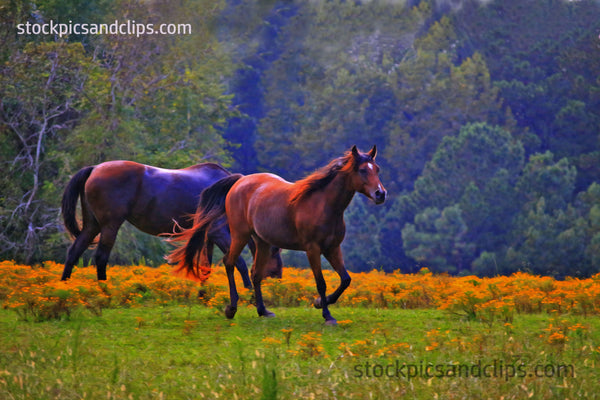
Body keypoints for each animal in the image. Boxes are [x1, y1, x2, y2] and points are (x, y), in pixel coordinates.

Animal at [60, 161, 282, 282]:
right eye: (275, 250)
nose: (276, 275)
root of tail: (94, 168)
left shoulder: (208, 237)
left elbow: (206, 267)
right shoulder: (219, 233)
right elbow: (239, 262)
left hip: (92, 225)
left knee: (74, 252)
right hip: (109, 226)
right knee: (101, 257)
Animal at [166, 147, 386, 324]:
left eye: (377, 169)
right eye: (362, 170)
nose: (380, 194)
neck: (322, 204)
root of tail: (240, 181)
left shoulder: (333, 248)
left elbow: (345, 279)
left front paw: (319, 303)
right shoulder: (313, 249)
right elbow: (321, 283)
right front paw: (327, 315)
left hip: (262, 242)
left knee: (256, 273)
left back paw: (263, 311)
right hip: (240, 235)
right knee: (230, 262)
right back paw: (232, 308)